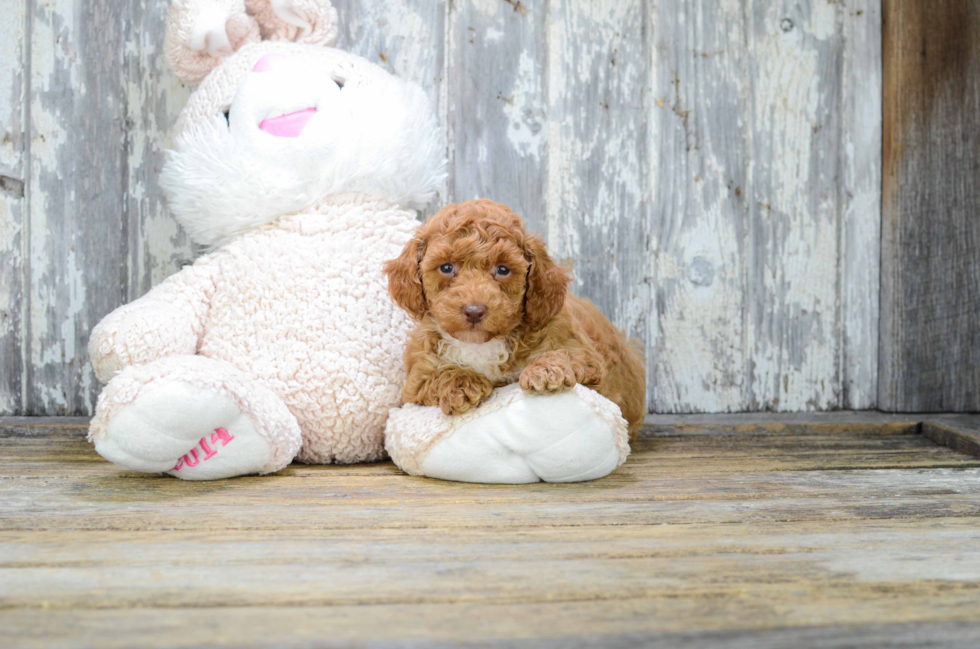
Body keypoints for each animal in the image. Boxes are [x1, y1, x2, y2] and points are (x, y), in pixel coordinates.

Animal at [384, 200, 652, 438]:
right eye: (447, 268)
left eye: (503, 270)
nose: (474, 310)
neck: (481, 344)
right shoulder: (416, 379)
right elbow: (438, 374)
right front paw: (462, 384)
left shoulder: (584, 353)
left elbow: (564, 353)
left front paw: (545, 370)